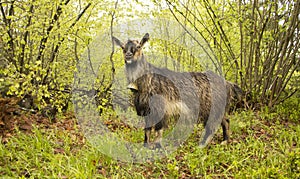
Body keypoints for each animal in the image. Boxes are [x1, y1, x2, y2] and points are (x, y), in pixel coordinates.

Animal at [113, 32, 244, 148]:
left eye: (138, 46)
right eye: (123, 47)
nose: (128, 55)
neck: (146, 80)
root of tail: (228, 83)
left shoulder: (161, 107)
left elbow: (158, 129)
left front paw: (157, 147)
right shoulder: (146, 108)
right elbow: (147, 129)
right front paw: (146, 146)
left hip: (212, 107)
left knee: (215, 124)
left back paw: (204, 144)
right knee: (225, 120)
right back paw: (224, 141)